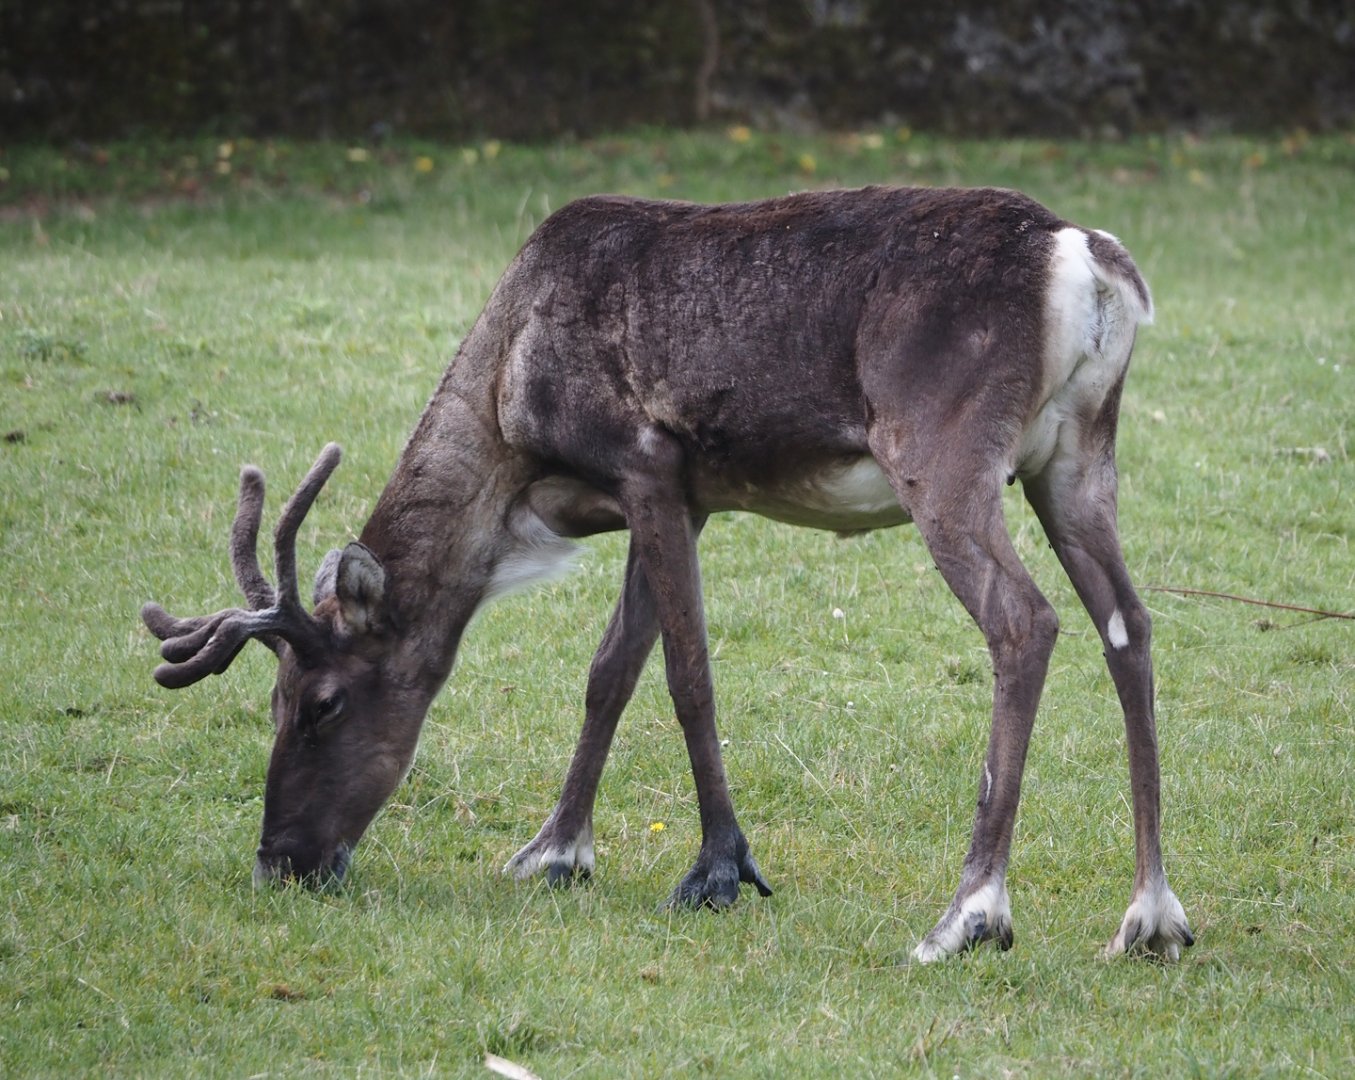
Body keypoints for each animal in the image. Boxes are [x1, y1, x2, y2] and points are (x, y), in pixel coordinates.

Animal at [142, 184, 1193, 962]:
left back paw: (970, 912)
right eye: (274, 699)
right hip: (1074, 460)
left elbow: (687, 677)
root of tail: (1088, 261)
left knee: (1025, 621)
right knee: (1129, 624)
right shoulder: (683, 499)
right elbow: (610, 670)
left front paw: (718, 869)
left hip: (943, 455)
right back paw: (1150, 916)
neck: (507, 410)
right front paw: (552, 851)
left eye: (320, 702)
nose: (281, 861)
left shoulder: (647, 463)